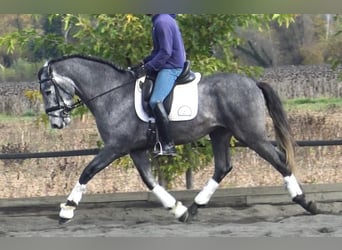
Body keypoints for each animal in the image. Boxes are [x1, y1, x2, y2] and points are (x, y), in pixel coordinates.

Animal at [36, 54, 316, 223]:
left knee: (279, 160)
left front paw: (66, 210)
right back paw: (193, 207)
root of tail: (253, 83)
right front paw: (178, 210)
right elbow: (149, 181)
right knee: (223, 167)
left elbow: (87, 171)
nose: (56, 123)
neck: (112, 94)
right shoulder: (135, 149)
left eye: (48, 90)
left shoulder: (116, 146)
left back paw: (305, 202)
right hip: (220, 133)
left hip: (250, 134)